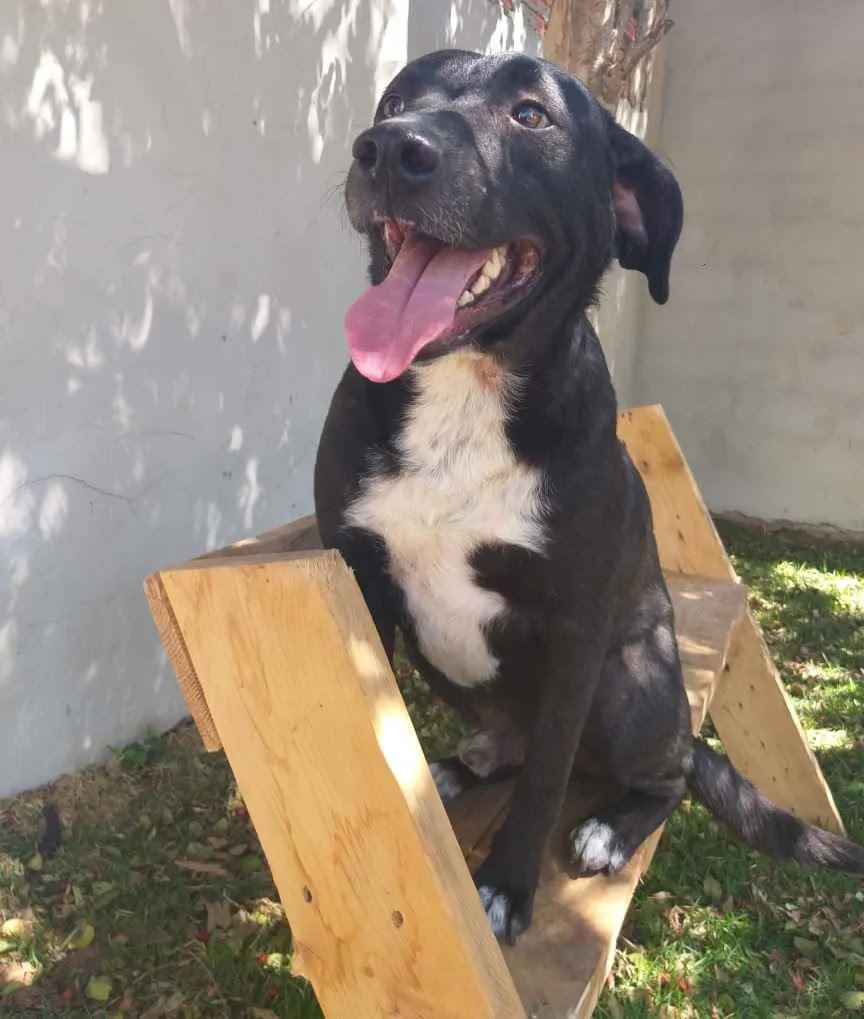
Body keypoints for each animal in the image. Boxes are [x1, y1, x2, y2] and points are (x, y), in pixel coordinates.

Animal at [313, 49, 864, 943]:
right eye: (395, 101)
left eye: (531, 115)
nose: (391, 149)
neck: (464, 392)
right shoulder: (358, 581)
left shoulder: (575, 626)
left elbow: (545, 781)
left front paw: (505, 887)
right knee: (511, 746)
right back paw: (462, 765)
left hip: (628, 679)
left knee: (658, 774)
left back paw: (612, 822)